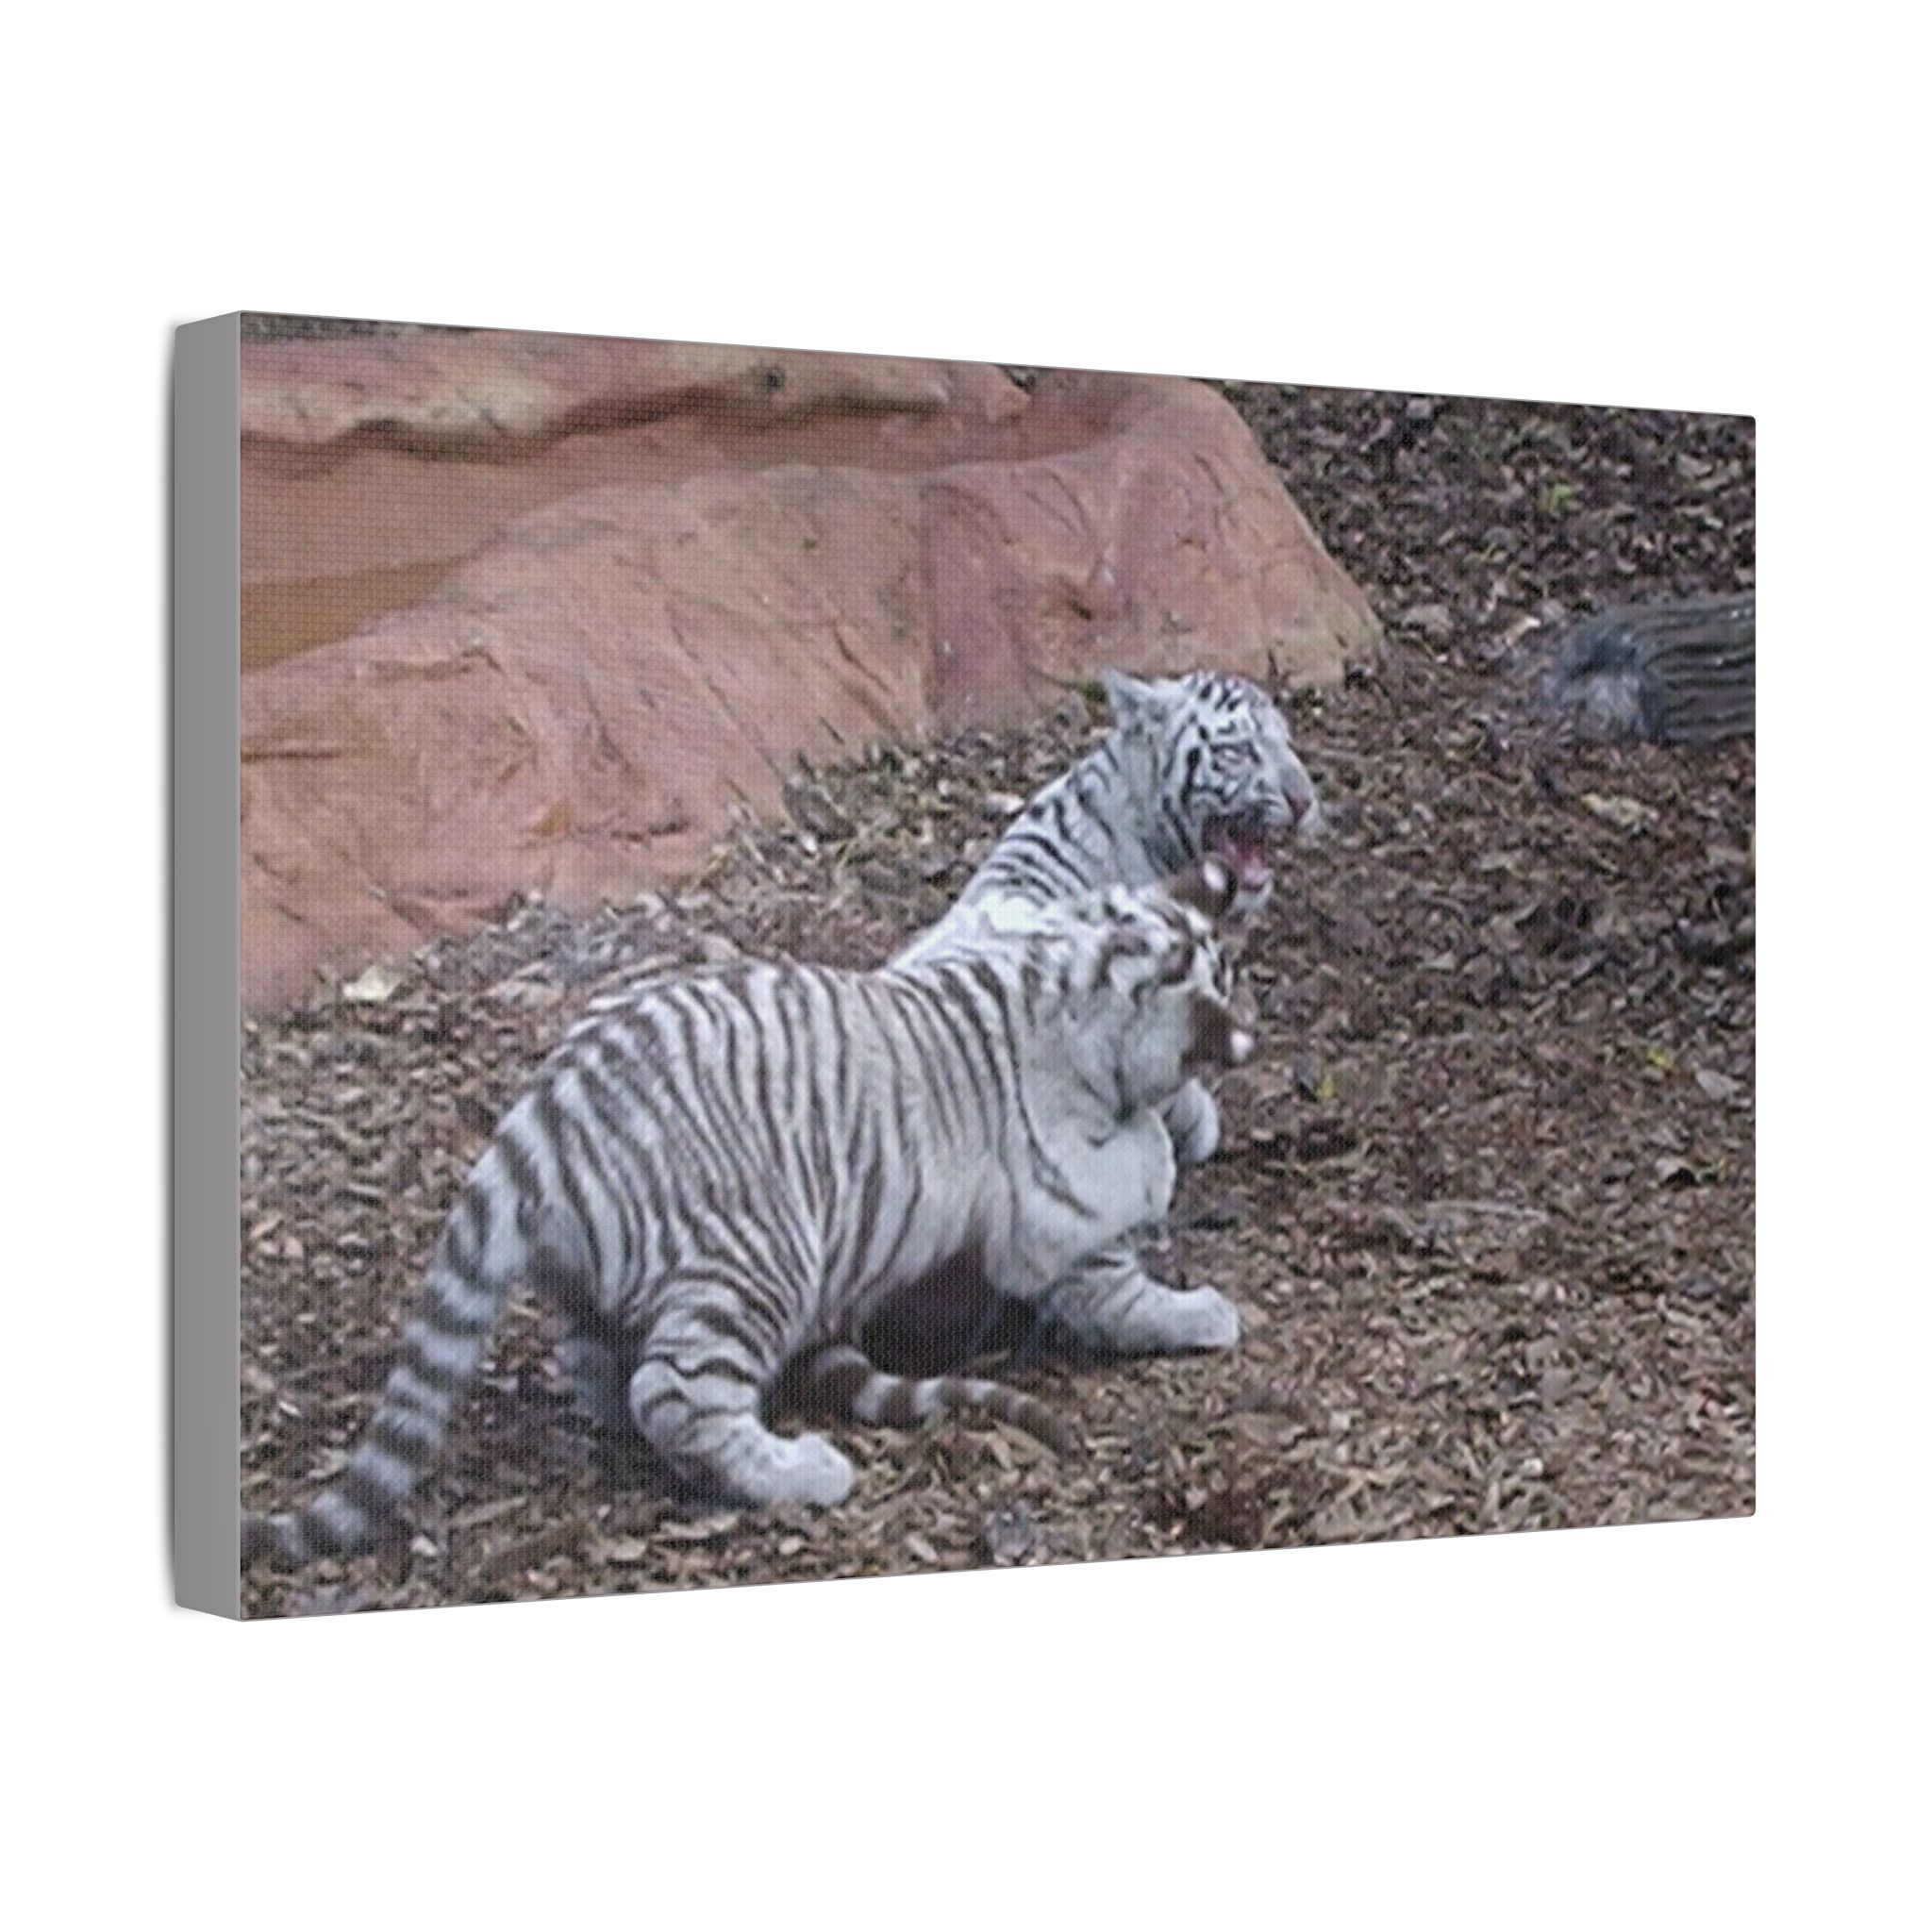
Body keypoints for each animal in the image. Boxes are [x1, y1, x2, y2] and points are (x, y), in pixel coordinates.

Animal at [243, 867, 1252, 1565]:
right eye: (1217, 986)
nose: (1245, 1036)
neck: (1064, 986)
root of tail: (547, 1112)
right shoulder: (1062, 1216)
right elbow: (1123, 1276)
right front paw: (1201, 1307)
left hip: (609, 1279)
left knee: (603, 1371)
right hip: (757, 1258)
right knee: (677, 1394)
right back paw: (798, 1471)